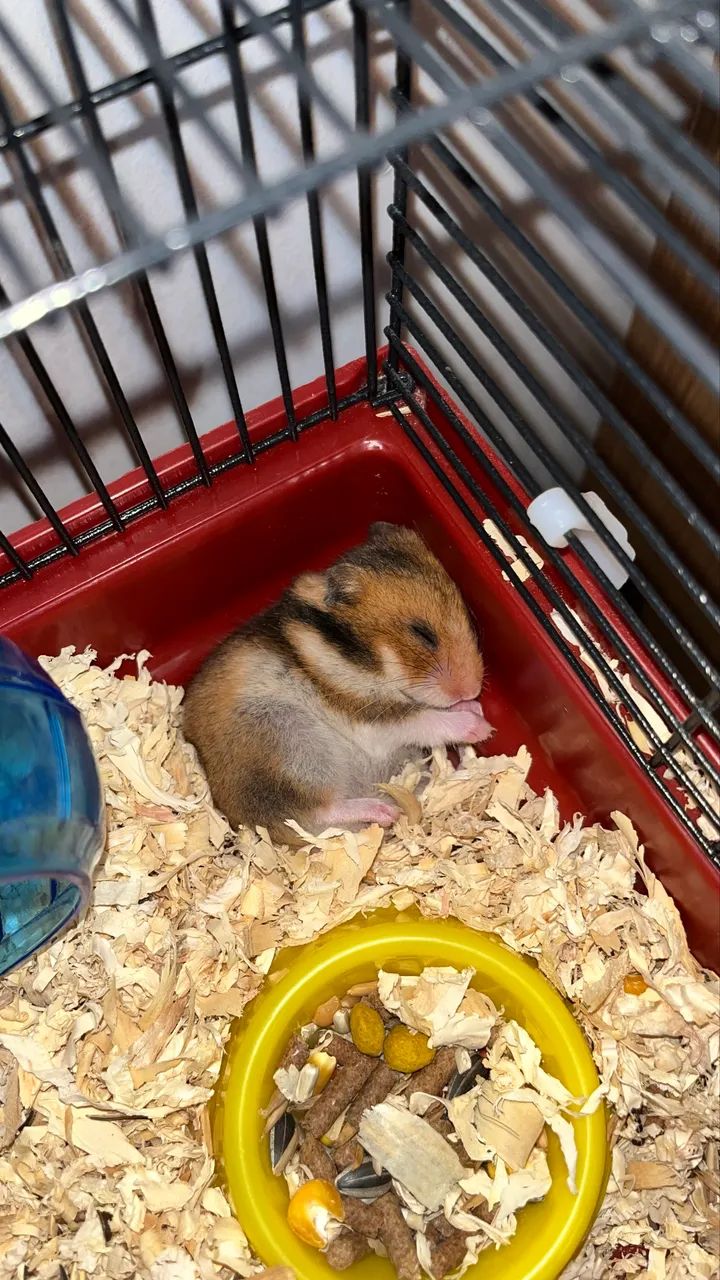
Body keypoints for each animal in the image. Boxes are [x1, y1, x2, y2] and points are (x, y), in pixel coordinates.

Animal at [183, 522, 492, 840]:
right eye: (422, 633)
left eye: (468, 617)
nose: (473, 690)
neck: (358, 661)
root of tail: (250, 827)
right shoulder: (371, 719)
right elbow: (423, 719)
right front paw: (480, 726)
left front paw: (475, 709)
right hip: (292, 744)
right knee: (313, 812)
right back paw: (384, 812)